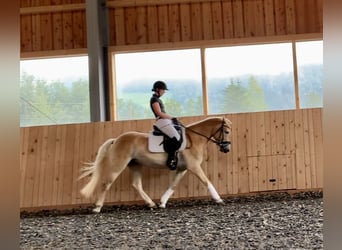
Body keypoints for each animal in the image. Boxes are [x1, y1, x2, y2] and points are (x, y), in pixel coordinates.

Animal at [78, 116, 232, 212]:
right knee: (106, 183)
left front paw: (162, 202)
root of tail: (116, 140)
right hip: (118, 165)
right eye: (226, 131)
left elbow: (173, 185)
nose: (226, 149)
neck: (194, 138)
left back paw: (151, 203)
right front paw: (218, 199)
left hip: (135, 165)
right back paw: (97, 207)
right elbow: (206, 181)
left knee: (136, 184)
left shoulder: (182, 168)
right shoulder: (194, 166)